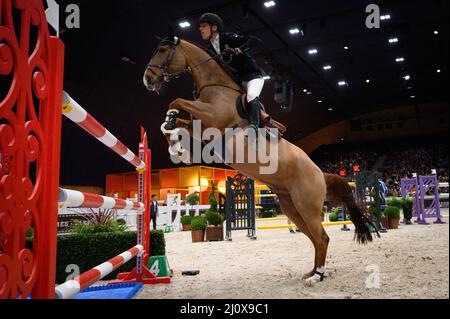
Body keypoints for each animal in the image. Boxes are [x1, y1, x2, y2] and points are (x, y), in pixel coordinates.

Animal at [143, 33, 376, 286]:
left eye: (162, 50)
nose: (147, 79)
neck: (214, 86)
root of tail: (320, 173)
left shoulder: (213, 119)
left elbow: (176, 101)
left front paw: (174, 134)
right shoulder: (201, 127)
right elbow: (177, 119)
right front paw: (176, 144)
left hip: (307, 206)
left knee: (322, 238)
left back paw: (317, 276)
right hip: (292, 208)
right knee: (315, 238)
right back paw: (312, 272)